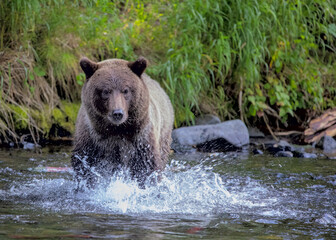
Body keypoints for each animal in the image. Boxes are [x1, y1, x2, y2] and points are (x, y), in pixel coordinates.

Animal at [72, 56, 175, 188]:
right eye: (105, 91)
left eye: (125, 90)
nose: (117, 113)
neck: (117, 129)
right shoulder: (91, 140)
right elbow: (85, 167)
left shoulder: (141, 139)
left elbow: (147, 167)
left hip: (163, 134)